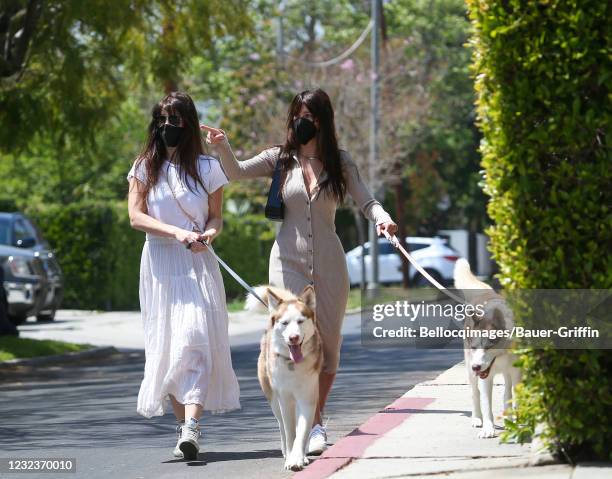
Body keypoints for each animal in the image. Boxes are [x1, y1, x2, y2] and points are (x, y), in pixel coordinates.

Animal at [245, 286, 322, 470]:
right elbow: (289, 432)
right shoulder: (285, 399)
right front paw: (290, 457)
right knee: (281, 424)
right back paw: (286, 452)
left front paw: (297, 458)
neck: (292, 364)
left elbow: (302, 430)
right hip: (273, 398)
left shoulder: (307, 397)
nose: (293, 337)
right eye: (285, 323)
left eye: (300, 321)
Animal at [454, 260, 520, 440]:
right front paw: (488, 429)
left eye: (489, 346)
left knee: (507, 393)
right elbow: (485, 402)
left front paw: (518, 422)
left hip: (507, 373)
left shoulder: (518, 372)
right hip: (469, 370)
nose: (476, 367)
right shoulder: (485, 377)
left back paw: (509, 418)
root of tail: (485, 292)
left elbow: (515, 397)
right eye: (474, 347)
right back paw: (477, 418)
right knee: (475, 393)